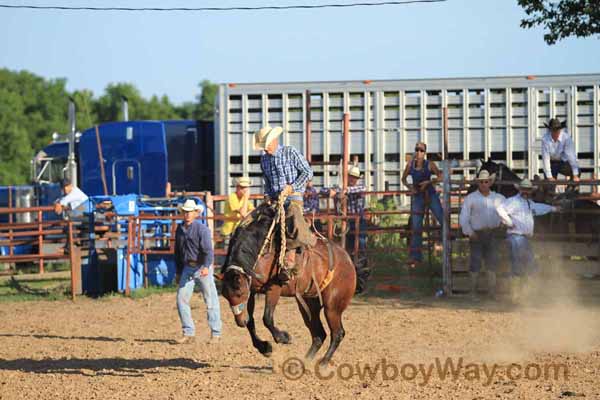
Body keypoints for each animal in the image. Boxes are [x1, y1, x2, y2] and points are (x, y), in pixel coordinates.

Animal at [220, 198, 356, 368]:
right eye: (225, 296)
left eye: (239, 292)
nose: (240, 322)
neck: (261, 250)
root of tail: (348, 260)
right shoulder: (252, 289)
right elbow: (251, 322)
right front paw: (265, 348)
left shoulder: (274, 288)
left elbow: (267, 317)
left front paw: (283, 338)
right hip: (309, 304)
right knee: (319, 334)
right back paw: (303, 362)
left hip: (333, 307)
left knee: (337, 333)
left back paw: (323, 363)